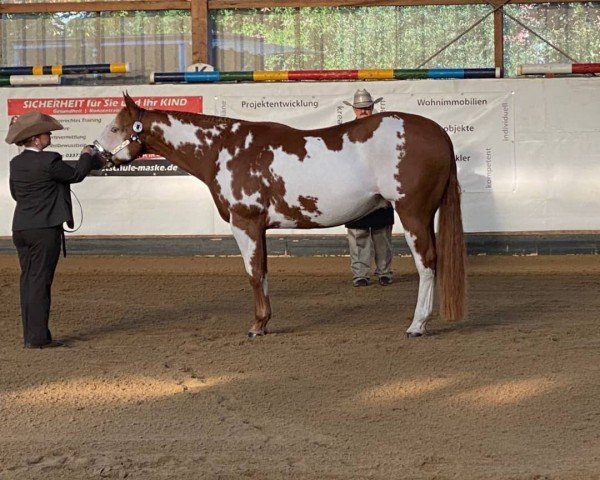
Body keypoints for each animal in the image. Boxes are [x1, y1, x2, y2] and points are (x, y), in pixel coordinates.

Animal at [96, 92, 466, 336]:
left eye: (115, 128)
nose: (93, 153)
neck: (224, 150)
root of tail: (438, 133)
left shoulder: (244, 223)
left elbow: (253, 273)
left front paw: (257, 326)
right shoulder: (259, 228)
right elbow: (263, 272)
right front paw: (265, 320)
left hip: (413, 213)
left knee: (427, 263)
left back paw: (417, 325)